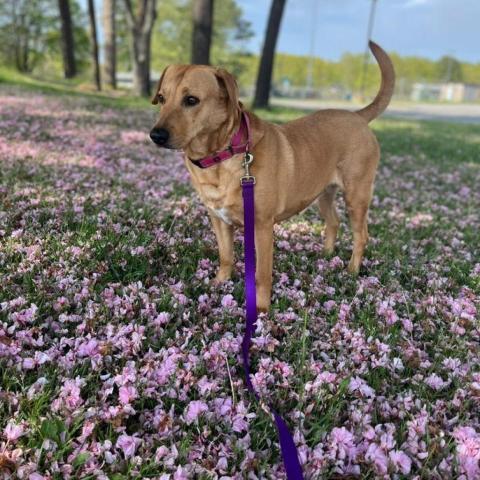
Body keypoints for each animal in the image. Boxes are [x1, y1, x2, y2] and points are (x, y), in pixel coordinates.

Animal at [150, 40, 394, 312]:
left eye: (191, 100)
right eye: (162, 98)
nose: (156, 135)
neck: (221, 156)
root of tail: (358, 116)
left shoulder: (262, 226)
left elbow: (262, 274)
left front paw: (261, 309)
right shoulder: (219, 220)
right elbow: (226, 256)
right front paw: (219, 282)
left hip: (356, 196)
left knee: (361, 236)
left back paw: (351, 270)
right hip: (323, 194)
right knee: (333, 221)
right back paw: (326, 257)